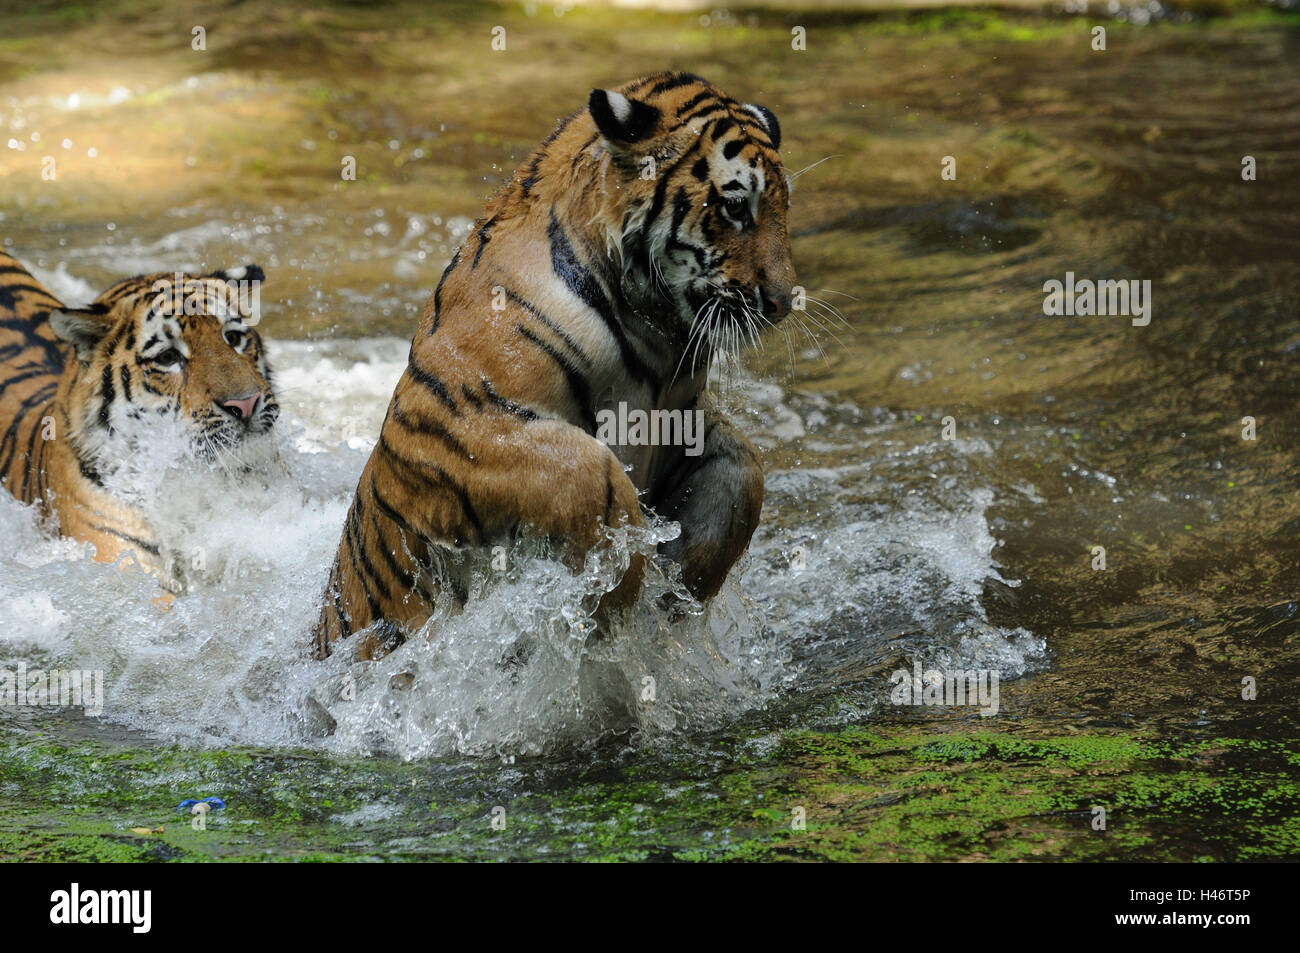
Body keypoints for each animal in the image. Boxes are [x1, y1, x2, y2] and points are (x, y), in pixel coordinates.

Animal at [318, 74, 795, 657]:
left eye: (783, 207)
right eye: (735, 208)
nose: (783, 301)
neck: (657, 335)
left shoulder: (678, 416)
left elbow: (743, 468)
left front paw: (680, 590)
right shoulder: (465, 425)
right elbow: (591, 472)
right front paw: (612, 601)